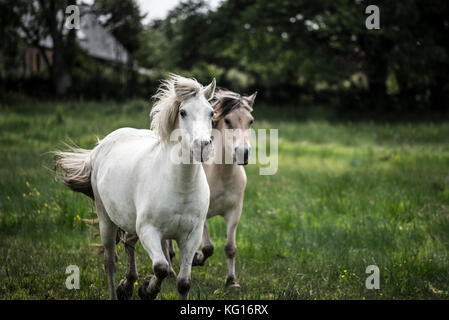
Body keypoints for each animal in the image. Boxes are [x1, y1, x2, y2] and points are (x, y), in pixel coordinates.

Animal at [55, 75, 216, 300]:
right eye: (183, 112)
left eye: (211, 112)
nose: (203, 146)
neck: (180, 186)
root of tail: (100, 146)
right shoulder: (149, 230)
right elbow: (161, 268)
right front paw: (147, 289)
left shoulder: (191, 236)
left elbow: (183, 283)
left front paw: (141, 287)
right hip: (106, 219)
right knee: (110, 262)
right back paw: (118, 290)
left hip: (129, 218)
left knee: (129, 243)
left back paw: (127, 285)